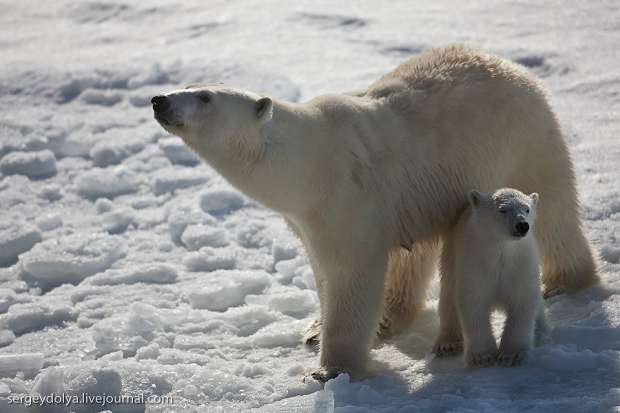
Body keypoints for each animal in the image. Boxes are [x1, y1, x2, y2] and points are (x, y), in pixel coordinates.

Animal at [150, 45, 596, 380]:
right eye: (187, 85)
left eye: (205, 97)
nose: (159, 100)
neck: (305, 162)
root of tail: (511, 65)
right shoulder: (308, 218)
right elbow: (324, 271)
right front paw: (315, 331)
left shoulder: (345, 198)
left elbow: (351, 273)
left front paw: (332, 368)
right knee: (414, 255)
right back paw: (392, 320)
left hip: (523, 139)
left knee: (554, 208)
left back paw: (565, 281)